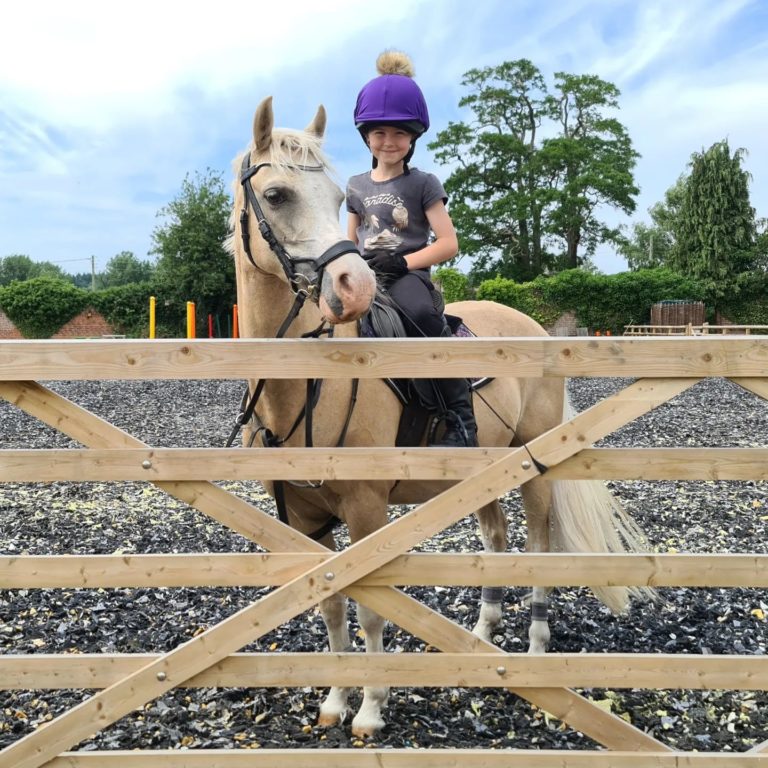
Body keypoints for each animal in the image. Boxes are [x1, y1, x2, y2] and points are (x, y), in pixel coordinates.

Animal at [227, 97, 652, 737]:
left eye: (337, 198)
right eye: (277, 195)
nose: (354, 284)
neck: (306, 388)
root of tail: (529, 324)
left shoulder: (367, 510)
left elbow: (372, 613)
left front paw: (371, 709)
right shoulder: (305, 518)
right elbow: (330, 605)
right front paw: (334, 700)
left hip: (535, 470)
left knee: (537, 547)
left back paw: (534, 651)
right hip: (480, 473)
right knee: (495, 540)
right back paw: (480, 637)